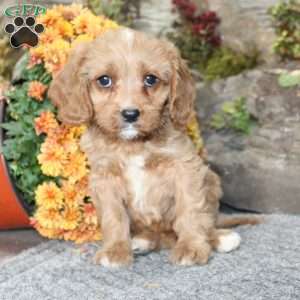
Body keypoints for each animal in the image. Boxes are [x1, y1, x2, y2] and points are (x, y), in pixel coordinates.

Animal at [49, 28, 251, 268]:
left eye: (150, 79)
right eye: (104, 80)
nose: (130, 114)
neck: (133, 145)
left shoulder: (185, 167)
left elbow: (191, 209)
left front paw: (191, 247)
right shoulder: (104, 177)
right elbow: (114, 216)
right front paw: (115, 250)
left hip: (211, 180)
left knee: (204, 220)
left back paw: (220, 238)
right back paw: (141, 241)